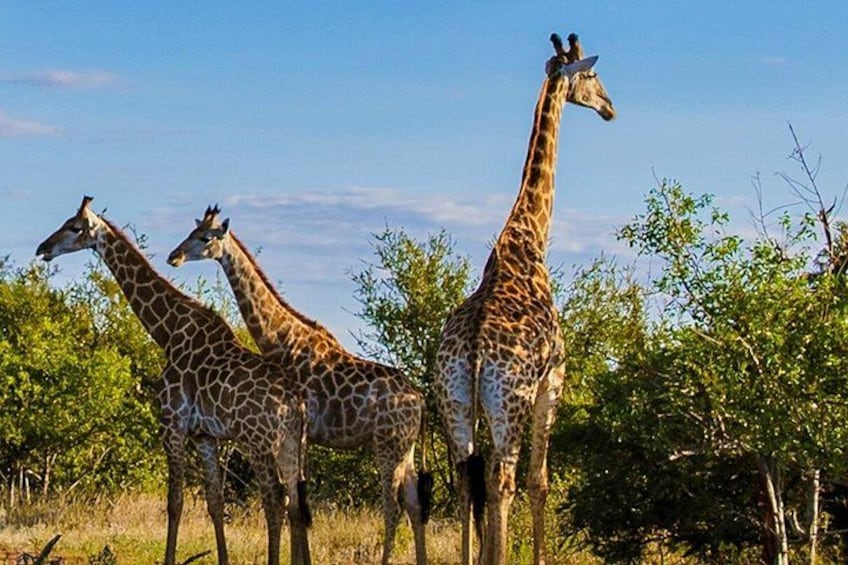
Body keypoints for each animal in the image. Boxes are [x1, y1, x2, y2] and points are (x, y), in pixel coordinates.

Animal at [35, 196, 312, 565]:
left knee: (275, 501)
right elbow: (214, 503)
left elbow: (175, 503)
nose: (43, 248)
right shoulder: (205, 435)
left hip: (259, 441)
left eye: (75, 227)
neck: (168, 332)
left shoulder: (172, 424)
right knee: (295, 502)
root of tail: (296, 401)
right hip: (292, 444)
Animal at [167, 208, 431, 565]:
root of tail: (420, 399)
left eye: (205, 238)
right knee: (414, 503)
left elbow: (297, 504)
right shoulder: (302, 435)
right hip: (406, 447)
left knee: (393, 506)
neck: (281, 339)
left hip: (387, 444)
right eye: (191, 231)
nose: (174, 256)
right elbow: (300, 504)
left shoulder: (300, 430)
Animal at [434, 33, 615, 565]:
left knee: (466, 479)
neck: (528, 236)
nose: (610, 109)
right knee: (503, 479)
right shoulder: (553, 380)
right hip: (509, 401)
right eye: (592, 75)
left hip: (454, 400)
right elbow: (541, 482)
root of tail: (474, 351)